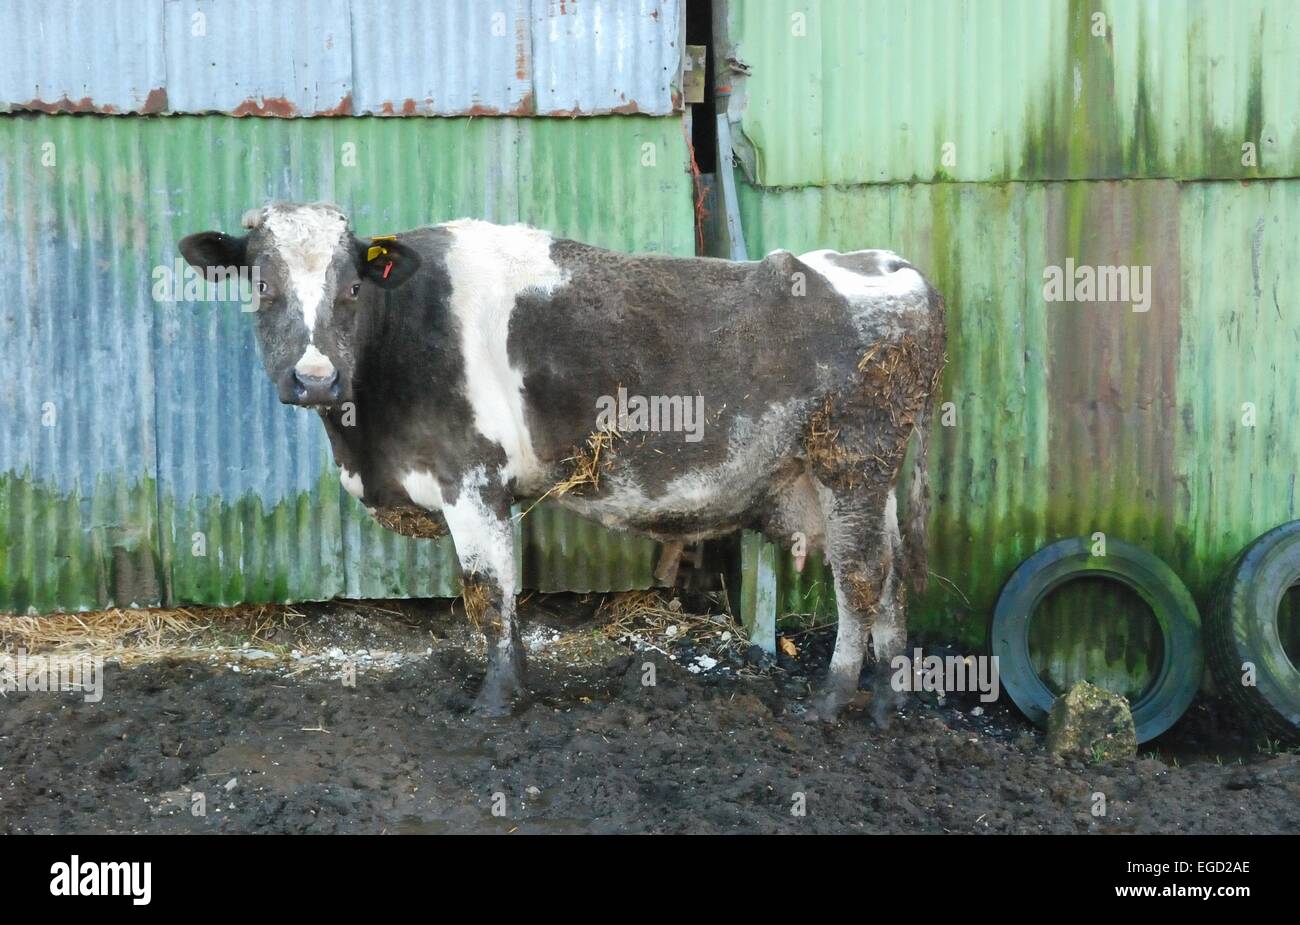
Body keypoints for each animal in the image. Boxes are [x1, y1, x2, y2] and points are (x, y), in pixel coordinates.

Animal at [180, 200, 946, 722]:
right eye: (262, 285)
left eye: (349, 288)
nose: (314, 378)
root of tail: (891, 265)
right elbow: (506, 598)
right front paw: (520, 680)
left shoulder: (472, 480)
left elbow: (488, 595)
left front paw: (494, 699)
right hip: (859, 478)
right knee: (891, 574)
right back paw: (890, 699)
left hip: (853, 461)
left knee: (859, 578)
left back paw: (833, 698)